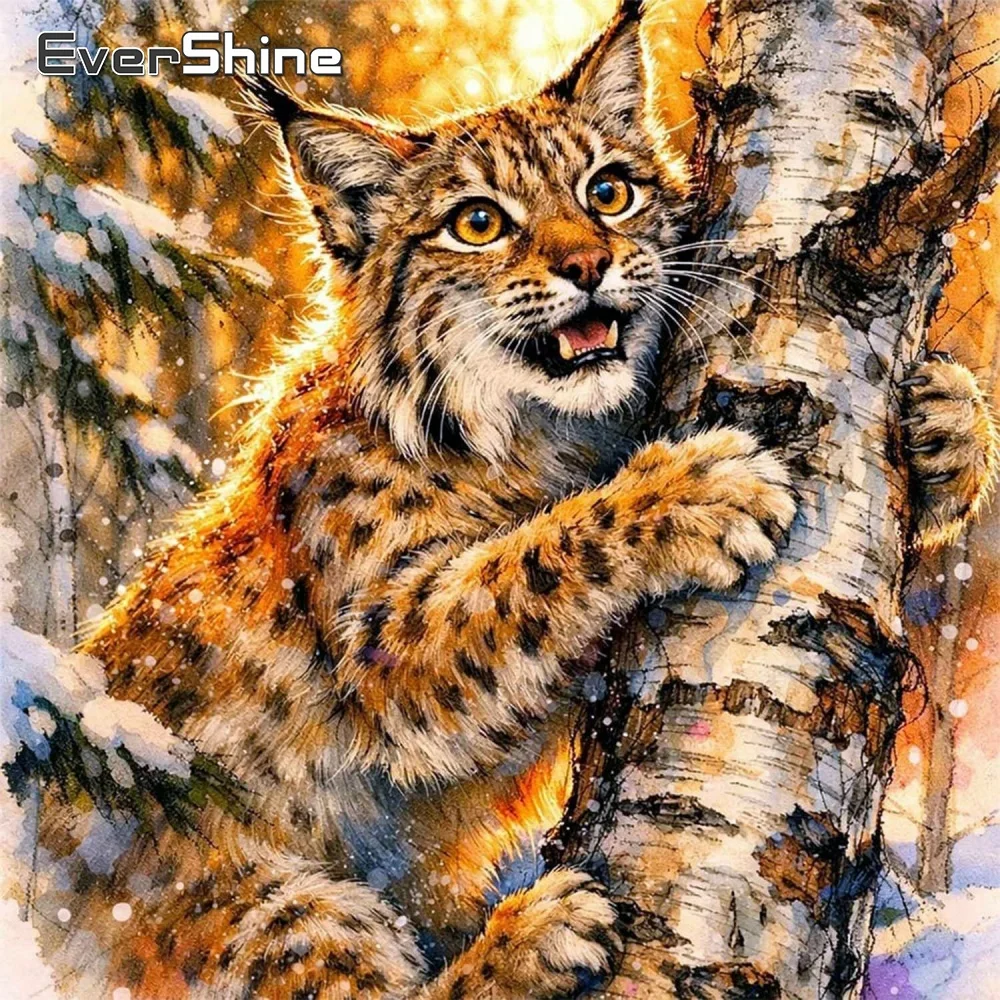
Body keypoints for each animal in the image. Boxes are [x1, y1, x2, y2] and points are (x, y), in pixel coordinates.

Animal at [33, 4, 996, 999]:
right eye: (479, 224)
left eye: (609, 192)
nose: (589, 264)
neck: (540, 431)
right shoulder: (387, 646)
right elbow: (530, 559)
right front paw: (694, 489)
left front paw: (947, 420)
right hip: (257, 901)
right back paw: (535, 933)